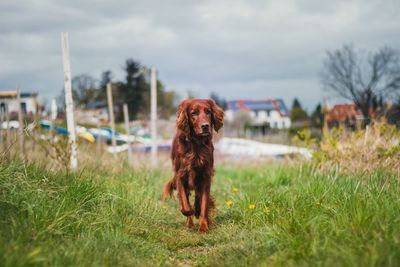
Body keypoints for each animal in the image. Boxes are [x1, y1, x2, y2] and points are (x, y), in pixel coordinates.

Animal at [162, 99, 225, 233]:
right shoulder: (180, 176)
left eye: (208, 111)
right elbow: (185, 204)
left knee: (197, 196)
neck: (196, 144)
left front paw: (203, 226)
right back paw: (190, 221)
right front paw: (189, 213)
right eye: (193, 113)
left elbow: (204, 203)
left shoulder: (206, 176)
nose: (205, 126)